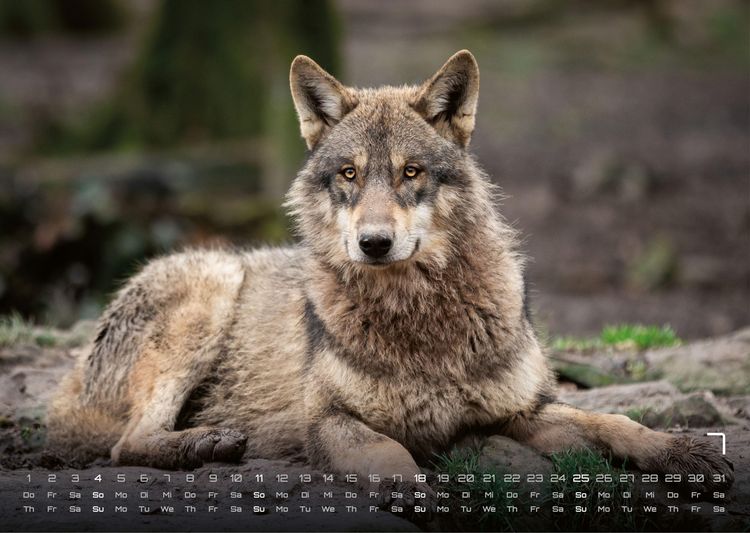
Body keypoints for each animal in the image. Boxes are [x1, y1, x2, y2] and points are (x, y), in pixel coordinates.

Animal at [47, 50, 732, 511]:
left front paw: (683, 452)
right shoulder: (329, 422)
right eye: (349, 174)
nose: (373, 243)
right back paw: (205, 443)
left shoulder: (520, 410)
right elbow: (394, 459)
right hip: (210, 290)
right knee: (127, 444)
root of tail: (68, 385)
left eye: (410, 172)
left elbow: (613, 423)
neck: (420, 318)